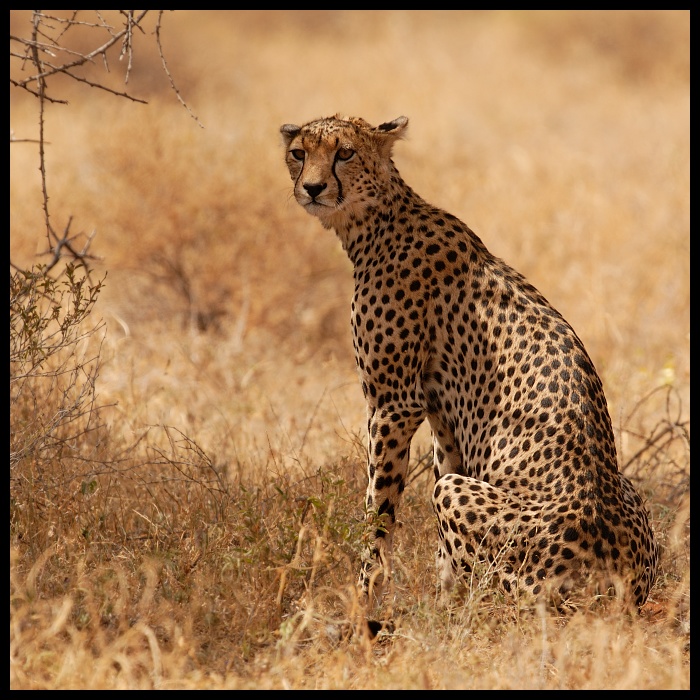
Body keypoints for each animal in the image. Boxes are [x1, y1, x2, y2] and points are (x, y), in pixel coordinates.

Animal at [282, 113, 660, 612]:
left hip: (493, 535)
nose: (312, 187)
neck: (378, 220)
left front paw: (365, 596)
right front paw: (440, 601)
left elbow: (378, 509)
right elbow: (439, 515)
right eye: (299, 153)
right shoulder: (442, 418)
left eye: (344, 152)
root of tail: (629, 590)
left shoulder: (394, 405)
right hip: (626, 491)